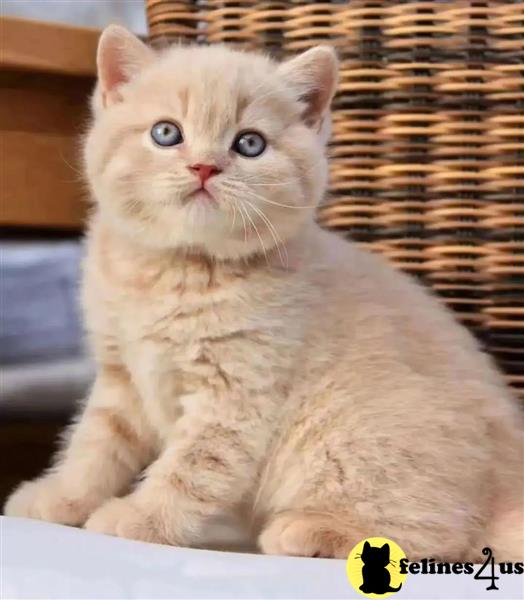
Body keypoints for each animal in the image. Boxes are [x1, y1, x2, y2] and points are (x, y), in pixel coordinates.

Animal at [5, 27, 524, 564]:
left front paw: (140, 517)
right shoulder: (121, 375)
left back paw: (309, 530)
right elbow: (95, 443)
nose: (204, 167)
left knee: (439, 534)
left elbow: (190, 468)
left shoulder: (236, 395)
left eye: (249, 143)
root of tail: (508, 490)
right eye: (166, 133)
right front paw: (59, 497)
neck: (177, 272)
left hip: (352, 435)